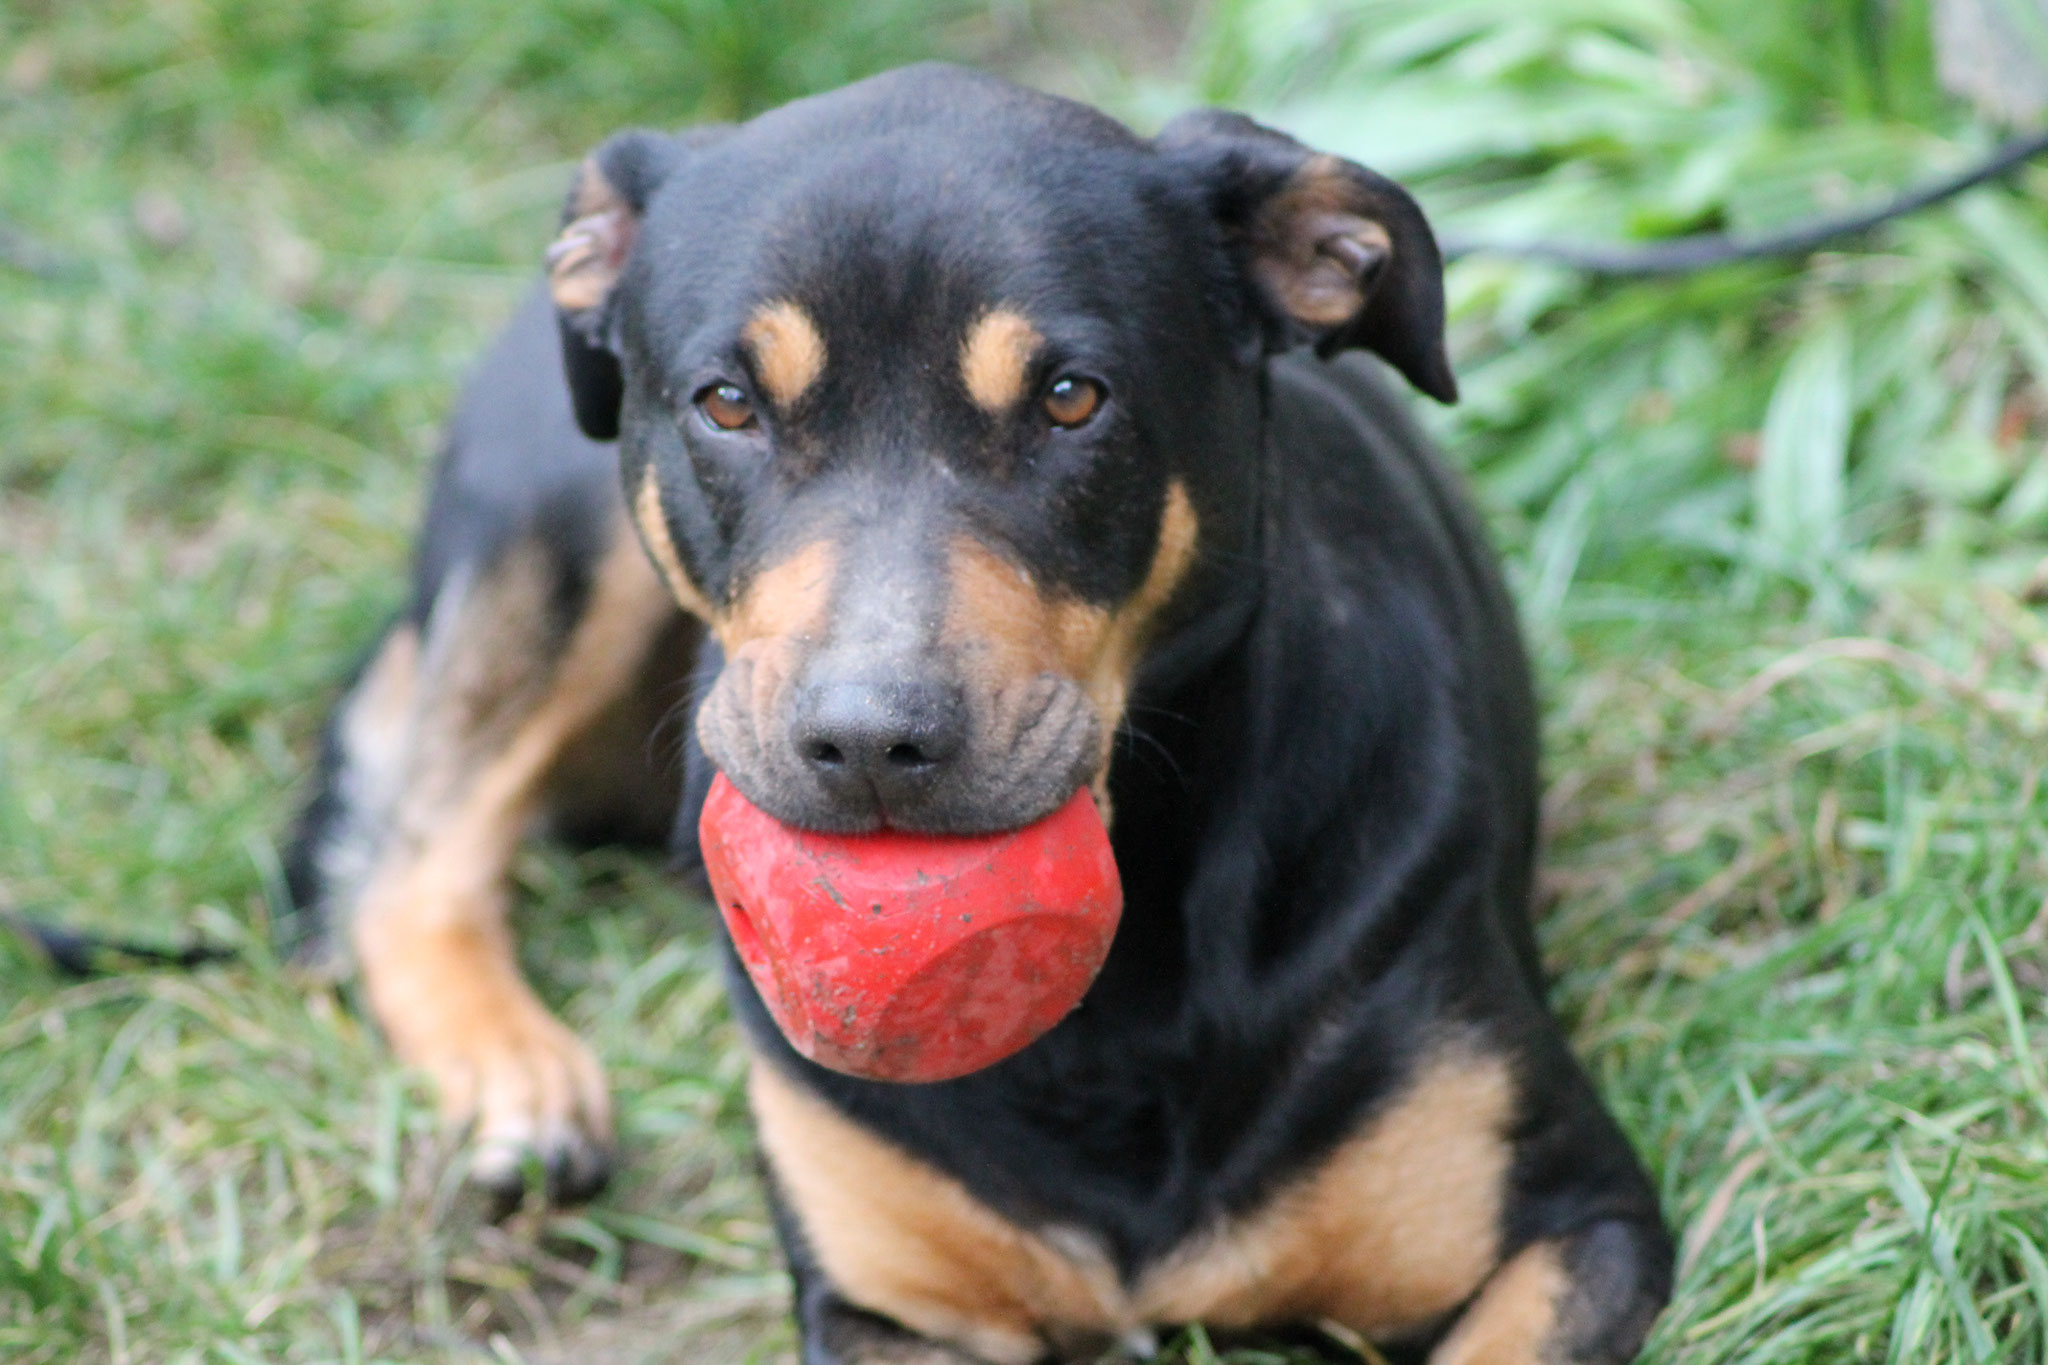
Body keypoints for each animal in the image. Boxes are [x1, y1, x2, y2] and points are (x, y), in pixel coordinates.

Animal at [284, 61, 1662, 1365]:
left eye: (1070, 397)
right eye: (726, 403)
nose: (866, 742)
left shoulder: (1579, 1225)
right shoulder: (881, 1301)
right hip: (559, 539)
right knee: (412, 855)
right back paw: (515, 1081)